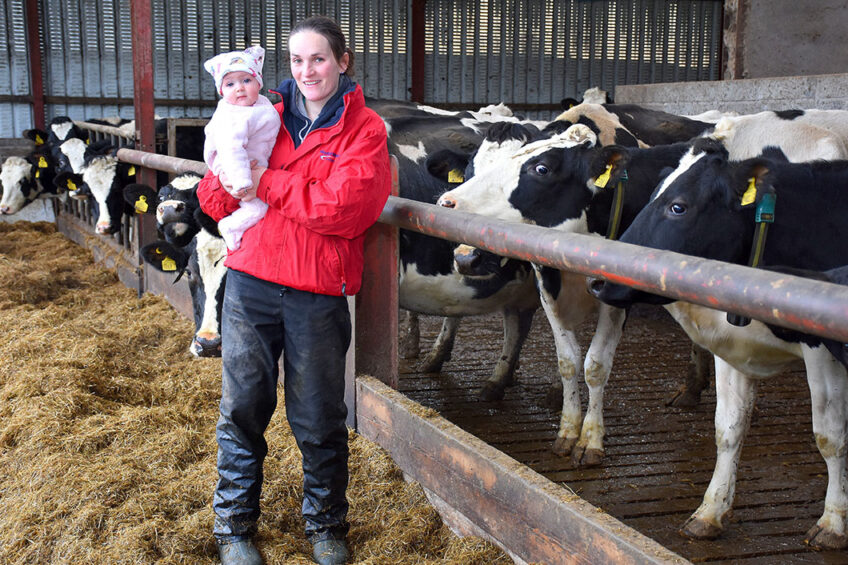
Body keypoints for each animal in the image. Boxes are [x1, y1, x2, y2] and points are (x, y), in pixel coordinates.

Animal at [588, 139, 848, 548]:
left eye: (678, 206)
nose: (597, 279)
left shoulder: (823, 350)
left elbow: (831, 436)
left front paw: (834, 523)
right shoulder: (729, 342)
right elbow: (728, 427)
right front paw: (710, 512)